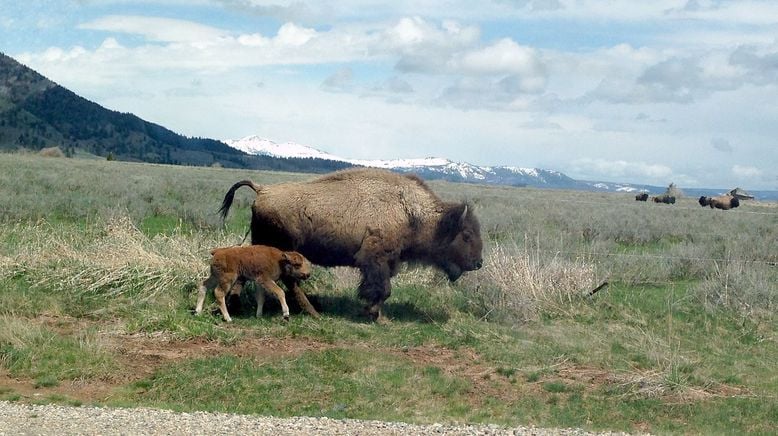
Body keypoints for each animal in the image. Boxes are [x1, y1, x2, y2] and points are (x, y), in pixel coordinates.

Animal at [218, 169, 482, 322]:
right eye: (467, 234)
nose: (478, 263)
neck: (412, 213)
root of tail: (262, 190)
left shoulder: (386, 263)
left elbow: (381, 289)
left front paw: (372, 312)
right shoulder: (376, 260)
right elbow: (383, 289)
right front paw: (375, 315)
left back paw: (239, 306)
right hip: (283, 250)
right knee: (289, 282)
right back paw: (312, 312)